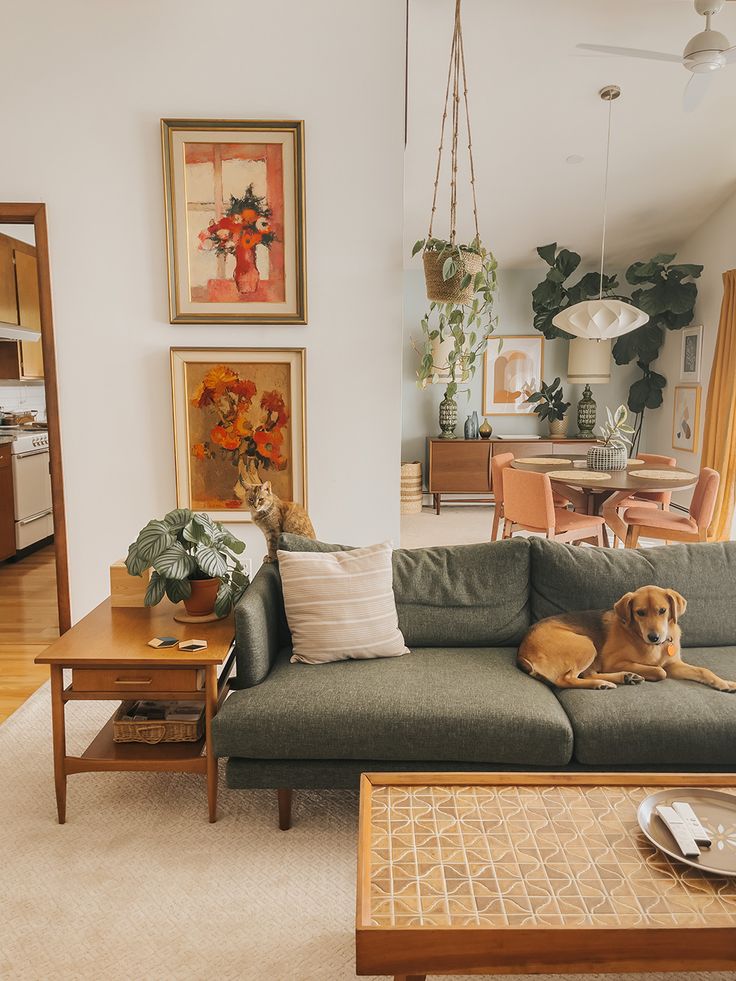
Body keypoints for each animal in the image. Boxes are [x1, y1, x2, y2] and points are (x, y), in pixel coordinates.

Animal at [516, 584, 736, 692]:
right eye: (640, 613)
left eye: (662, 610)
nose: (654, 637)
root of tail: (523, 650)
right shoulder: (613, 662)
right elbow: (660, 671)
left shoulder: (674, 664)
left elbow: (703, 670)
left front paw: (724, 683)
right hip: (586, 645)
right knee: (566, 679)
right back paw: (604, 683)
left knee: (585, 675)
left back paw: (622, 678)